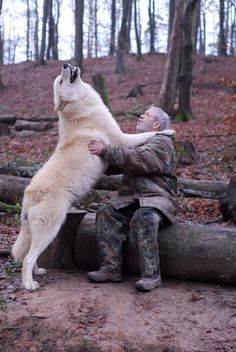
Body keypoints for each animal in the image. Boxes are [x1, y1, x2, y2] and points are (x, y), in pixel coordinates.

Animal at [12, 63, 156, 288]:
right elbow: (145, 135)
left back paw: (38, 273)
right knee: (27, 258)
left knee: (30, 256)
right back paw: (29, 285)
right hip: (51, 228)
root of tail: (28, 194)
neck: (81, 111)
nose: (65, 64)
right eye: (61, 81)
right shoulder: (122, 139)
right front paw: (169, 131)